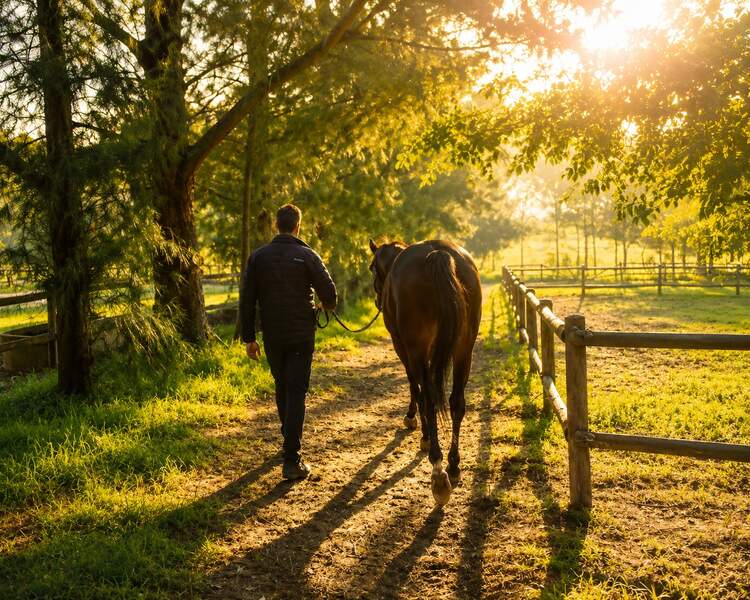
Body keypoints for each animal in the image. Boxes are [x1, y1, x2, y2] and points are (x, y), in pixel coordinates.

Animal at [368, 239, 482, 506]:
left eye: (371, 268)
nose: (377, 300)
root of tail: (437, 252)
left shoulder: (403, 348)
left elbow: (415, 388)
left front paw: (418, 427)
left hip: (416, 349)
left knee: (429, 400)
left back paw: (438, 472)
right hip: (464, 350)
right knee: (456, 403)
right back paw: (453, 465)